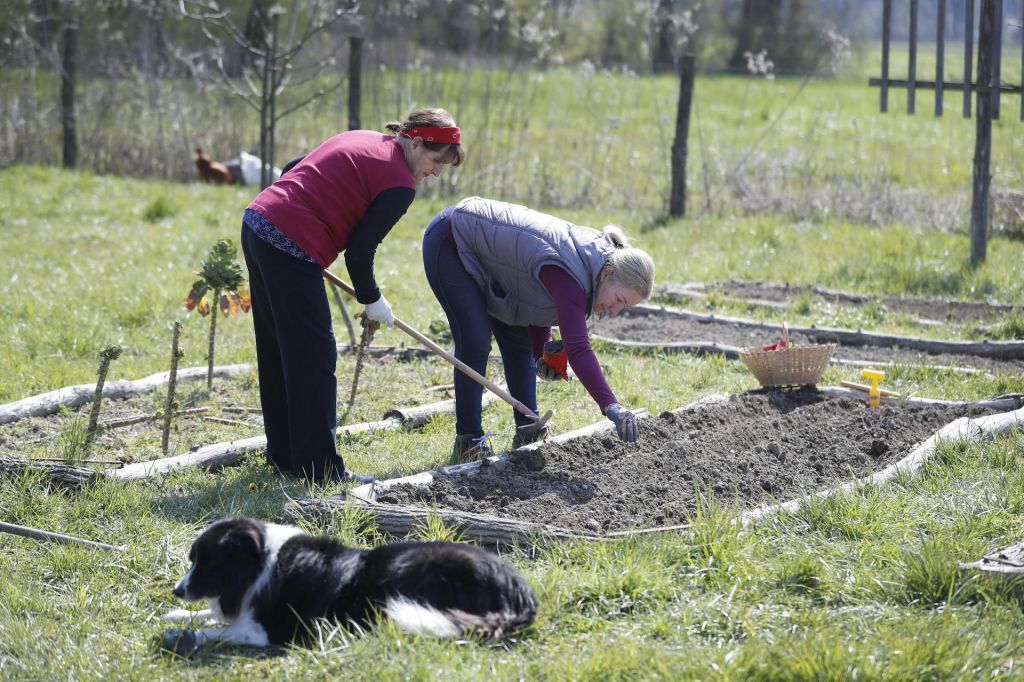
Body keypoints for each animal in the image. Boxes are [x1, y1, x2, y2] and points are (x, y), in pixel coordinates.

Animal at [163, 516, 540, 647]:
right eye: (192, 561)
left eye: (205, 564)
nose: (176, 591)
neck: (261, 562)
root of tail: (522, 595)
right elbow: (214, 615)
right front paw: (175, 615)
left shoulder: (280, 630)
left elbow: (227, 630)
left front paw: (184, 635)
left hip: (409, 568)